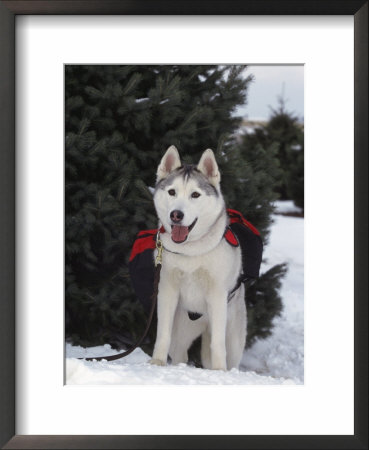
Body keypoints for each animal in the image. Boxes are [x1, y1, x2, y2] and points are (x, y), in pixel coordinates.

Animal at [148, 146, 246, 370]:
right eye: (172, 192)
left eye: (195, 195)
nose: (176, 215)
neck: (191, 250)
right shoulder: (167, 292)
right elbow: (162, 334)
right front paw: (157, 362)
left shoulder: (217, 296)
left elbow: (218, 345)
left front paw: (219, 371)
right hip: (182, 329)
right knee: (180, 353)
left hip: (233, 338)